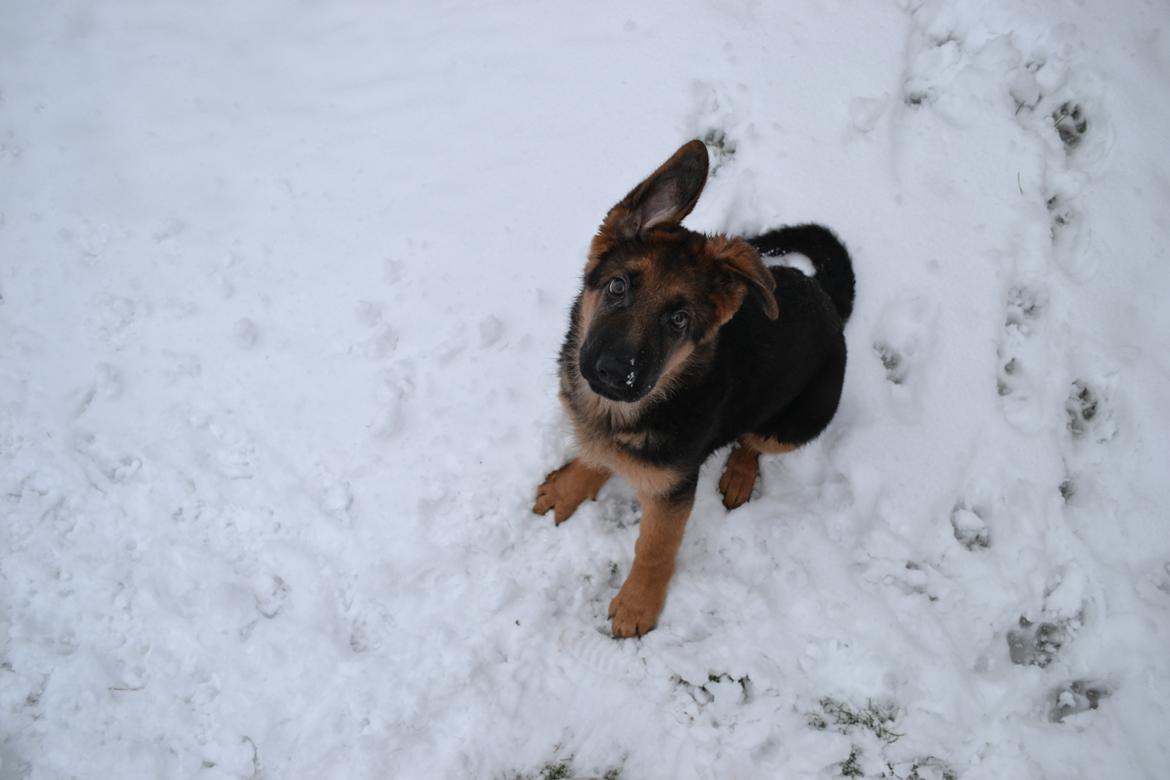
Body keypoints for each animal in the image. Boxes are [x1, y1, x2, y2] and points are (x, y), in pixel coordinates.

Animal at [535, 142, 856, 640]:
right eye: (617, 286)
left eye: (679, 319)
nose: (615, 373)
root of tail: (828, 301)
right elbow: (597, 453)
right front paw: (571, 485)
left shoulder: (675, 487)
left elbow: (655, 545)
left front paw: (638, 603)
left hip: (798, 422)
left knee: (754, 441)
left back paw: (740, 474)